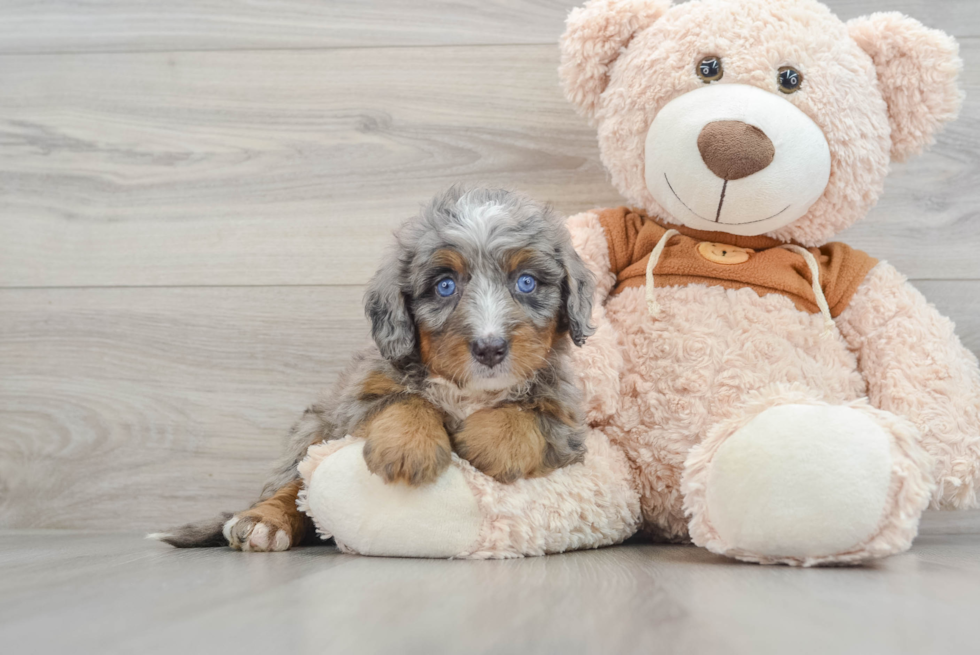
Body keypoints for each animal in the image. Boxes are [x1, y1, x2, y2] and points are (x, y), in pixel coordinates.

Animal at [157, 187, 592, 552]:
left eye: (526, 282)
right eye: (445, 285)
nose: (489, 348)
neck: (469, 391)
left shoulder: (567, 418)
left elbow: (526, 415)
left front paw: (484, 442)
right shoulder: (356, 401)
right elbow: (403, 401)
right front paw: (408, 447)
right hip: (311, 432)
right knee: (293, 488)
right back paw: (265, 522)